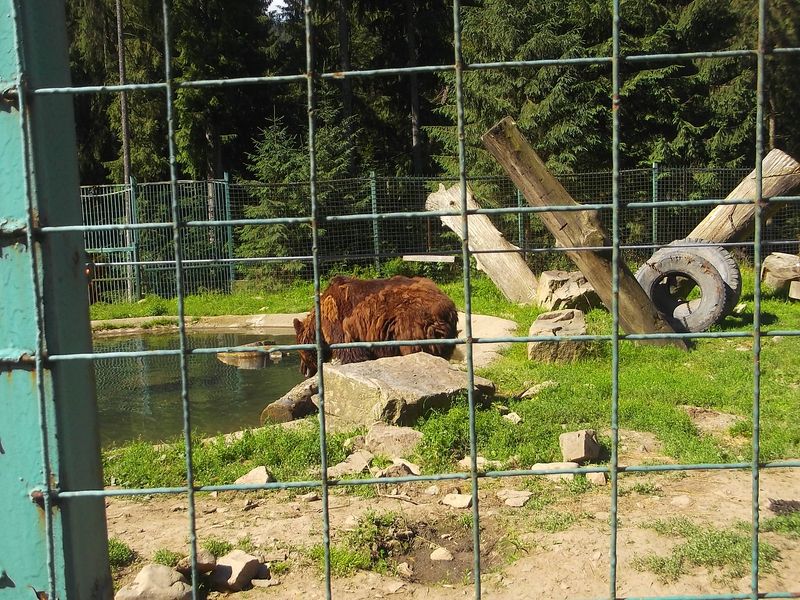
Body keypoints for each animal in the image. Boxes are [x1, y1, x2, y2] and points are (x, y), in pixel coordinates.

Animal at [293, 275, 458, 378]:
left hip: (411, 322)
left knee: (414, 348)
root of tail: (447, 307)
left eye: (300, 352)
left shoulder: (338, 320)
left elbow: (350, 351)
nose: (303, 370)